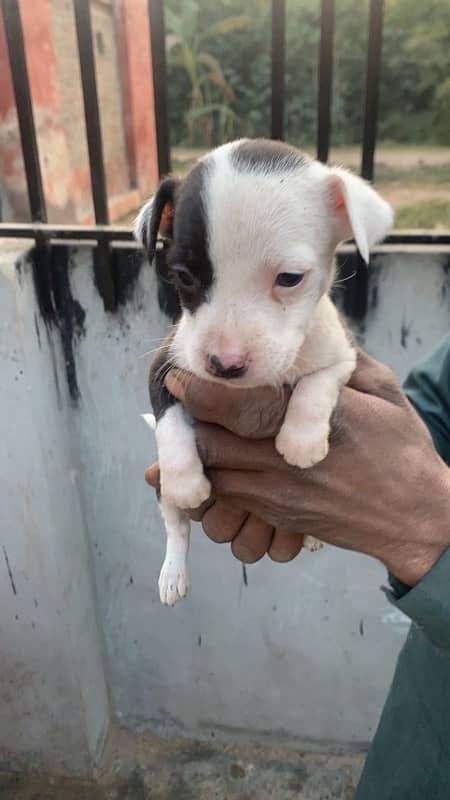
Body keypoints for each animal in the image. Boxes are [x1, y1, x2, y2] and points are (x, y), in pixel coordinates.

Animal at [135, 139, 392, 608]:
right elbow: (170, 422)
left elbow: (316, 384)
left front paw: (301, 440)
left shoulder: (343, 356)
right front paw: (186, 479)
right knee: (176, 527)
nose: (226, 363)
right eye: (182, 276)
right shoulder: (166, 364)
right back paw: (173, 572)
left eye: (290, 278)